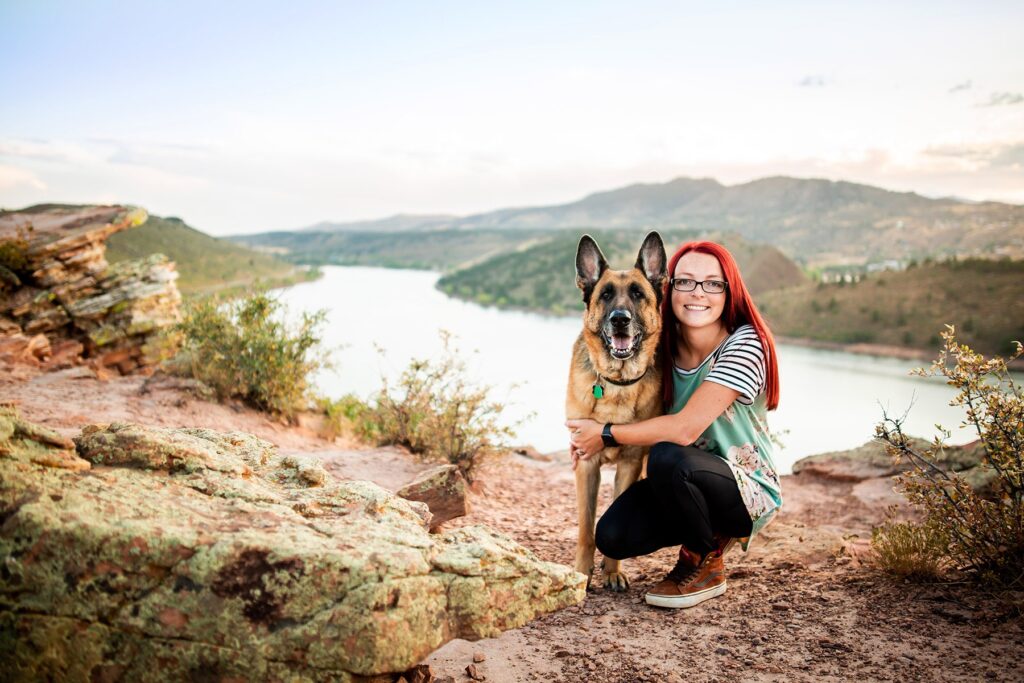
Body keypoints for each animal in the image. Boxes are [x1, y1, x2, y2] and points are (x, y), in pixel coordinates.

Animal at [565, 232, 667, 589]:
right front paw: (582, 572)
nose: (619, 319)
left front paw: (612, 571)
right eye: (606, 295)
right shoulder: (585, 462)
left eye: (637, 293)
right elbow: (586, 528)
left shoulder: (630, 463)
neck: (617, 383)